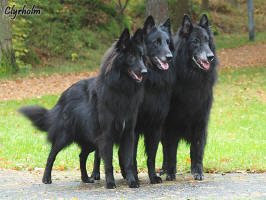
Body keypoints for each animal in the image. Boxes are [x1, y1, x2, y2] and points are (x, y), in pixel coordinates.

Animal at [18, 28, 148, 189]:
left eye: (141, 56)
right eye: (131, 56)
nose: (145, 71)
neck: (122, 90)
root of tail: (63, 96)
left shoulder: (128, 134)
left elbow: (129, 161)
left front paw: (132, 181)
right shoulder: (106, 135)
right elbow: (108, 163)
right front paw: (110, 183)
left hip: (90, 140)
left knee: (81, 156)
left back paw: (85, 178)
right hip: (65, 136)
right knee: (51, 155)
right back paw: (46, 178)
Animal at [91, 15, 175, 184]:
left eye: (168, 42)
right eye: (156, 42)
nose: (169, 57)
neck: (151, 84)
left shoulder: (155, 127)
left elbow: (151, 157)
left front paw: (152, 176)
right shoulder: (133, 129)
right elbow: (132, 157)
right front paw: (134, 176)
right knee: (99, 152)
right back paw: (96, 173)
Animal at [160, 14, 218, 181]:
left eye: (207, 41)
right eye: (195, 41)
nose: (210, 57)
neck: (192, 78)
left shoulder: (200, 121)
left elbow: (197, 149)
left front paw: (197, 171)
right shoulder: (171, 124)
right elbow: (170, 151)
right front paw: (170, 172)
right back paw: (164, 169)